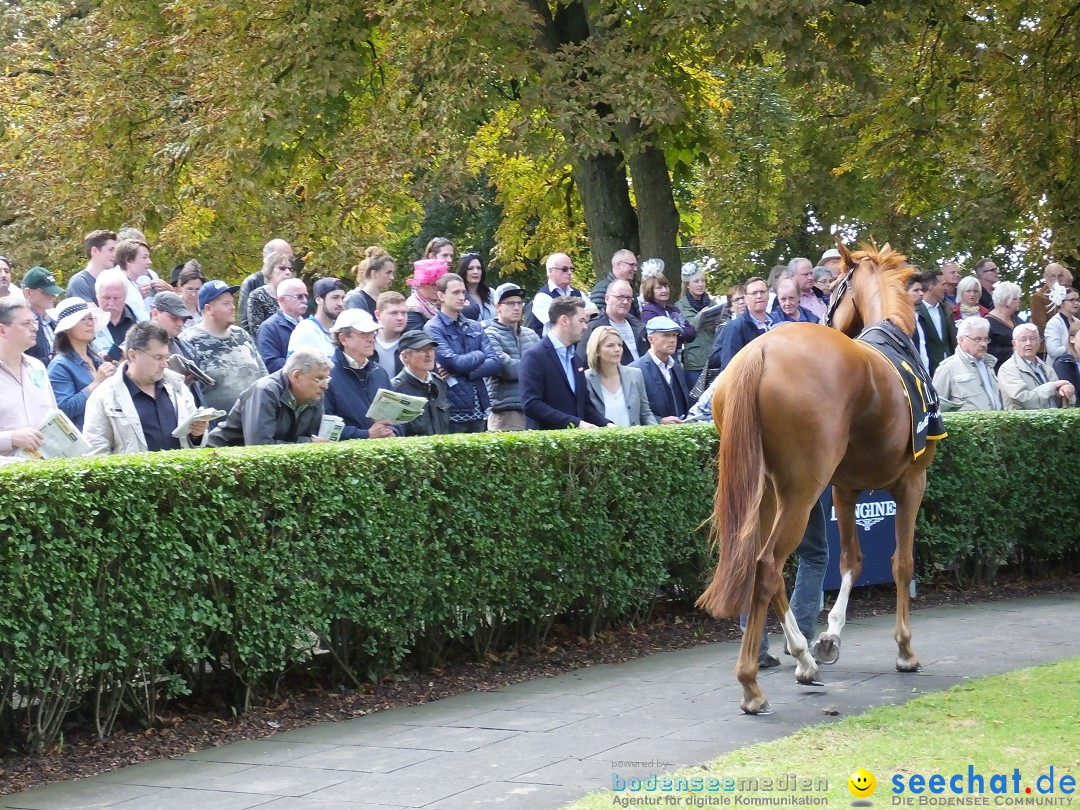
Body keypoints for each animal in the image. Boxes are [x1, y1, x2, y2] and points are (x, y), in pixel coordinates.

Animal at [699, 240, 937, 717]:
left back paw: (802, 659)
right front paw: (905, 650)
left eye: (833, 288)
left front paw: (828, 639)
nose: (824, 315)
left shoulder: (844, 490)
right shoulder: (911, 482)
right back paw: (751, 684)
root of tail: (760, 352)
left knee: (761, 565)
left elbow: (851, 561)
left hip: (768, 492)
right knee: (767, 565)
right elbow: (901, 562)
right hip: (801, 492)